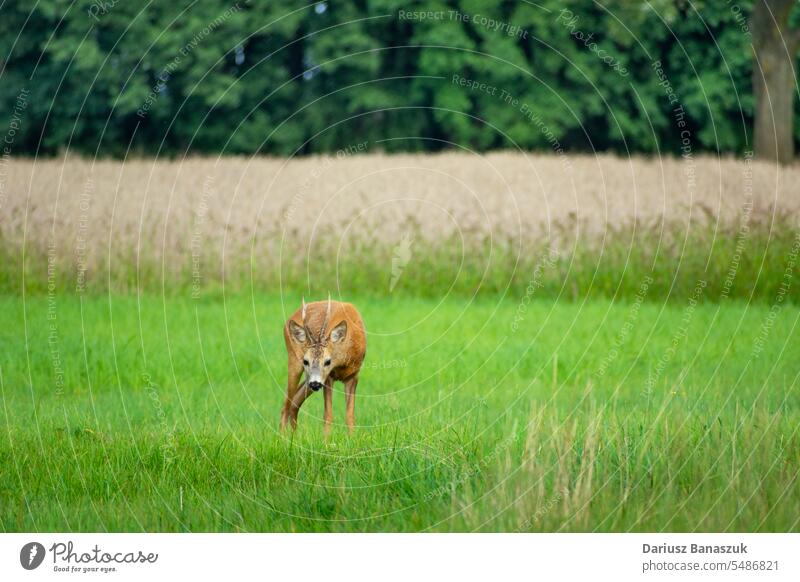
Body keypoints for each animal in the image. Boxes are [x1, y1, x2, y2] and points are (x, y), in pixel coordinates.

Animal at [282, 298, 366, 436]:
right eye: (306, 361)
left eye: (328, 361)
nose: (315, 384)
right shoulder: (328, 378)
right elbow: (328, 415)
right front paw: (325, 440)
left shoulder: (354, 375)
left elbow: (350, 416)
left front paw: (352, 438)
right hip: (294, 362)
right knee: (286, 404)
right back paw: (282, 437)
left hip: (310, 378)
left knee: (294, 401)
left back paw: (294, 436)